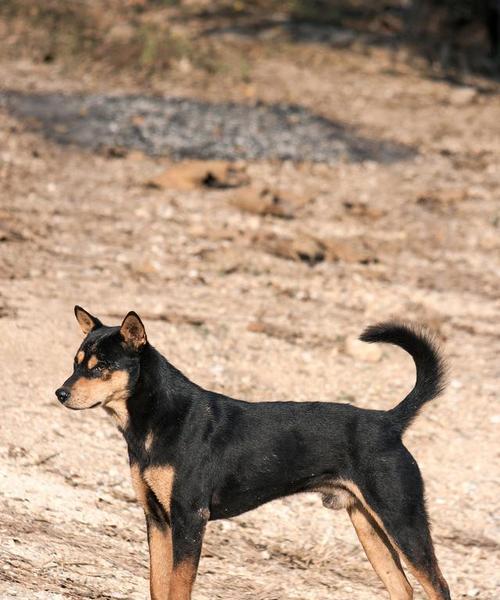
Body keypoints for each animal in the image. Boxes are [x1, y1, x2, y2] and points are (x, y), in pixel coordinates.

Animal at [56, 308, 452, 596]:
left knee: (438, 587)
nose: (60, 393)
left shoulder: (189, 518)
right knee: (403, 589)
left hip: (403, 522)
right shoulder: (157, 519)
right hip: (369, 526)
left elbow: (178, 588)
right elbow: (158, 586)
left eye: (102, 367)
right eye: (75, 362)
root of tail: (389, 422)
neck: (158, 418)